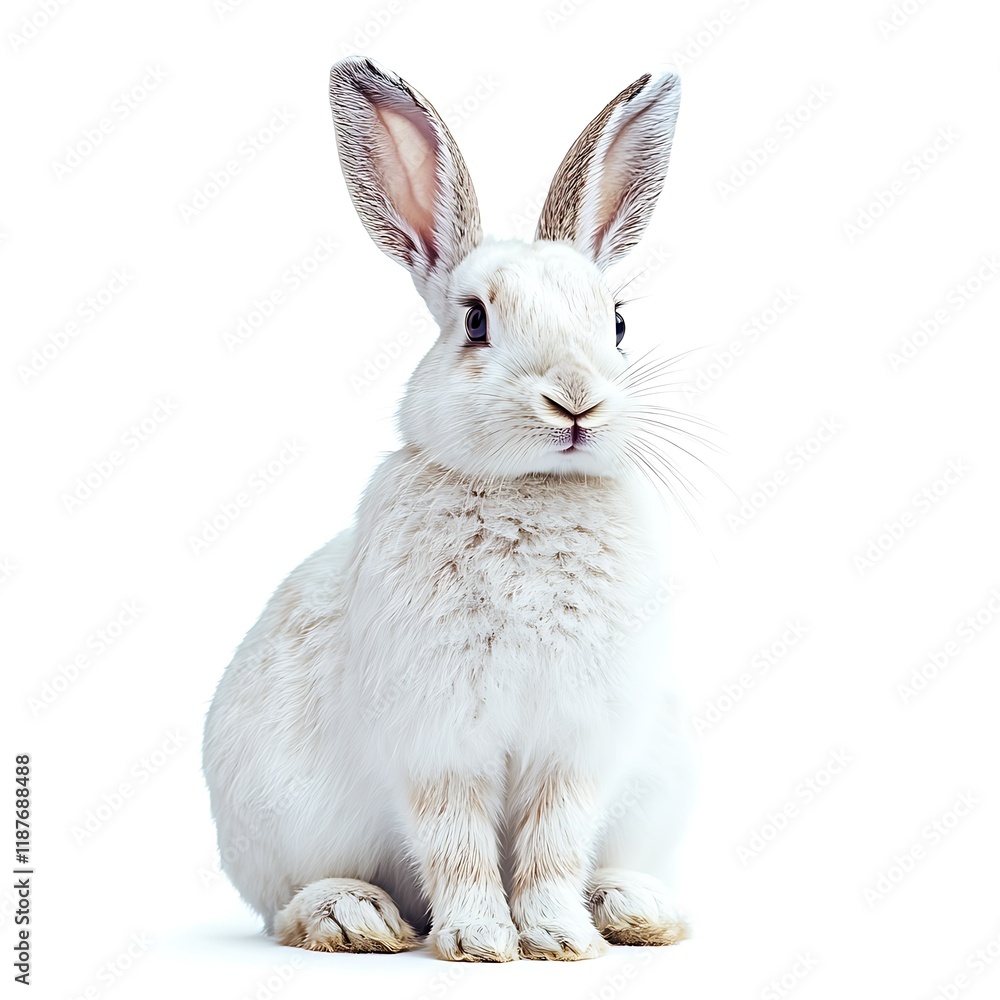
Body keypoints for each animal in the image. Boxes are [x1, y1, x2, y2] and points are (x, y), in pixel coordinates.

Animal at [202, 55, 696, 963]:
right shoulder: (435, 743)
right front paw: (480, 943)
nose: (575, 402)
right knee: (287, 903)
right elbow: (457, 843)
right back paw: (353, 918)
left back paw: (634, 909)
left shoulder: (577, 746)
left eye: (615, 323)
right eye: (474, 321)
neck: (530, 492)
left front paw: (559, 939)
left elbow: (553, 844)